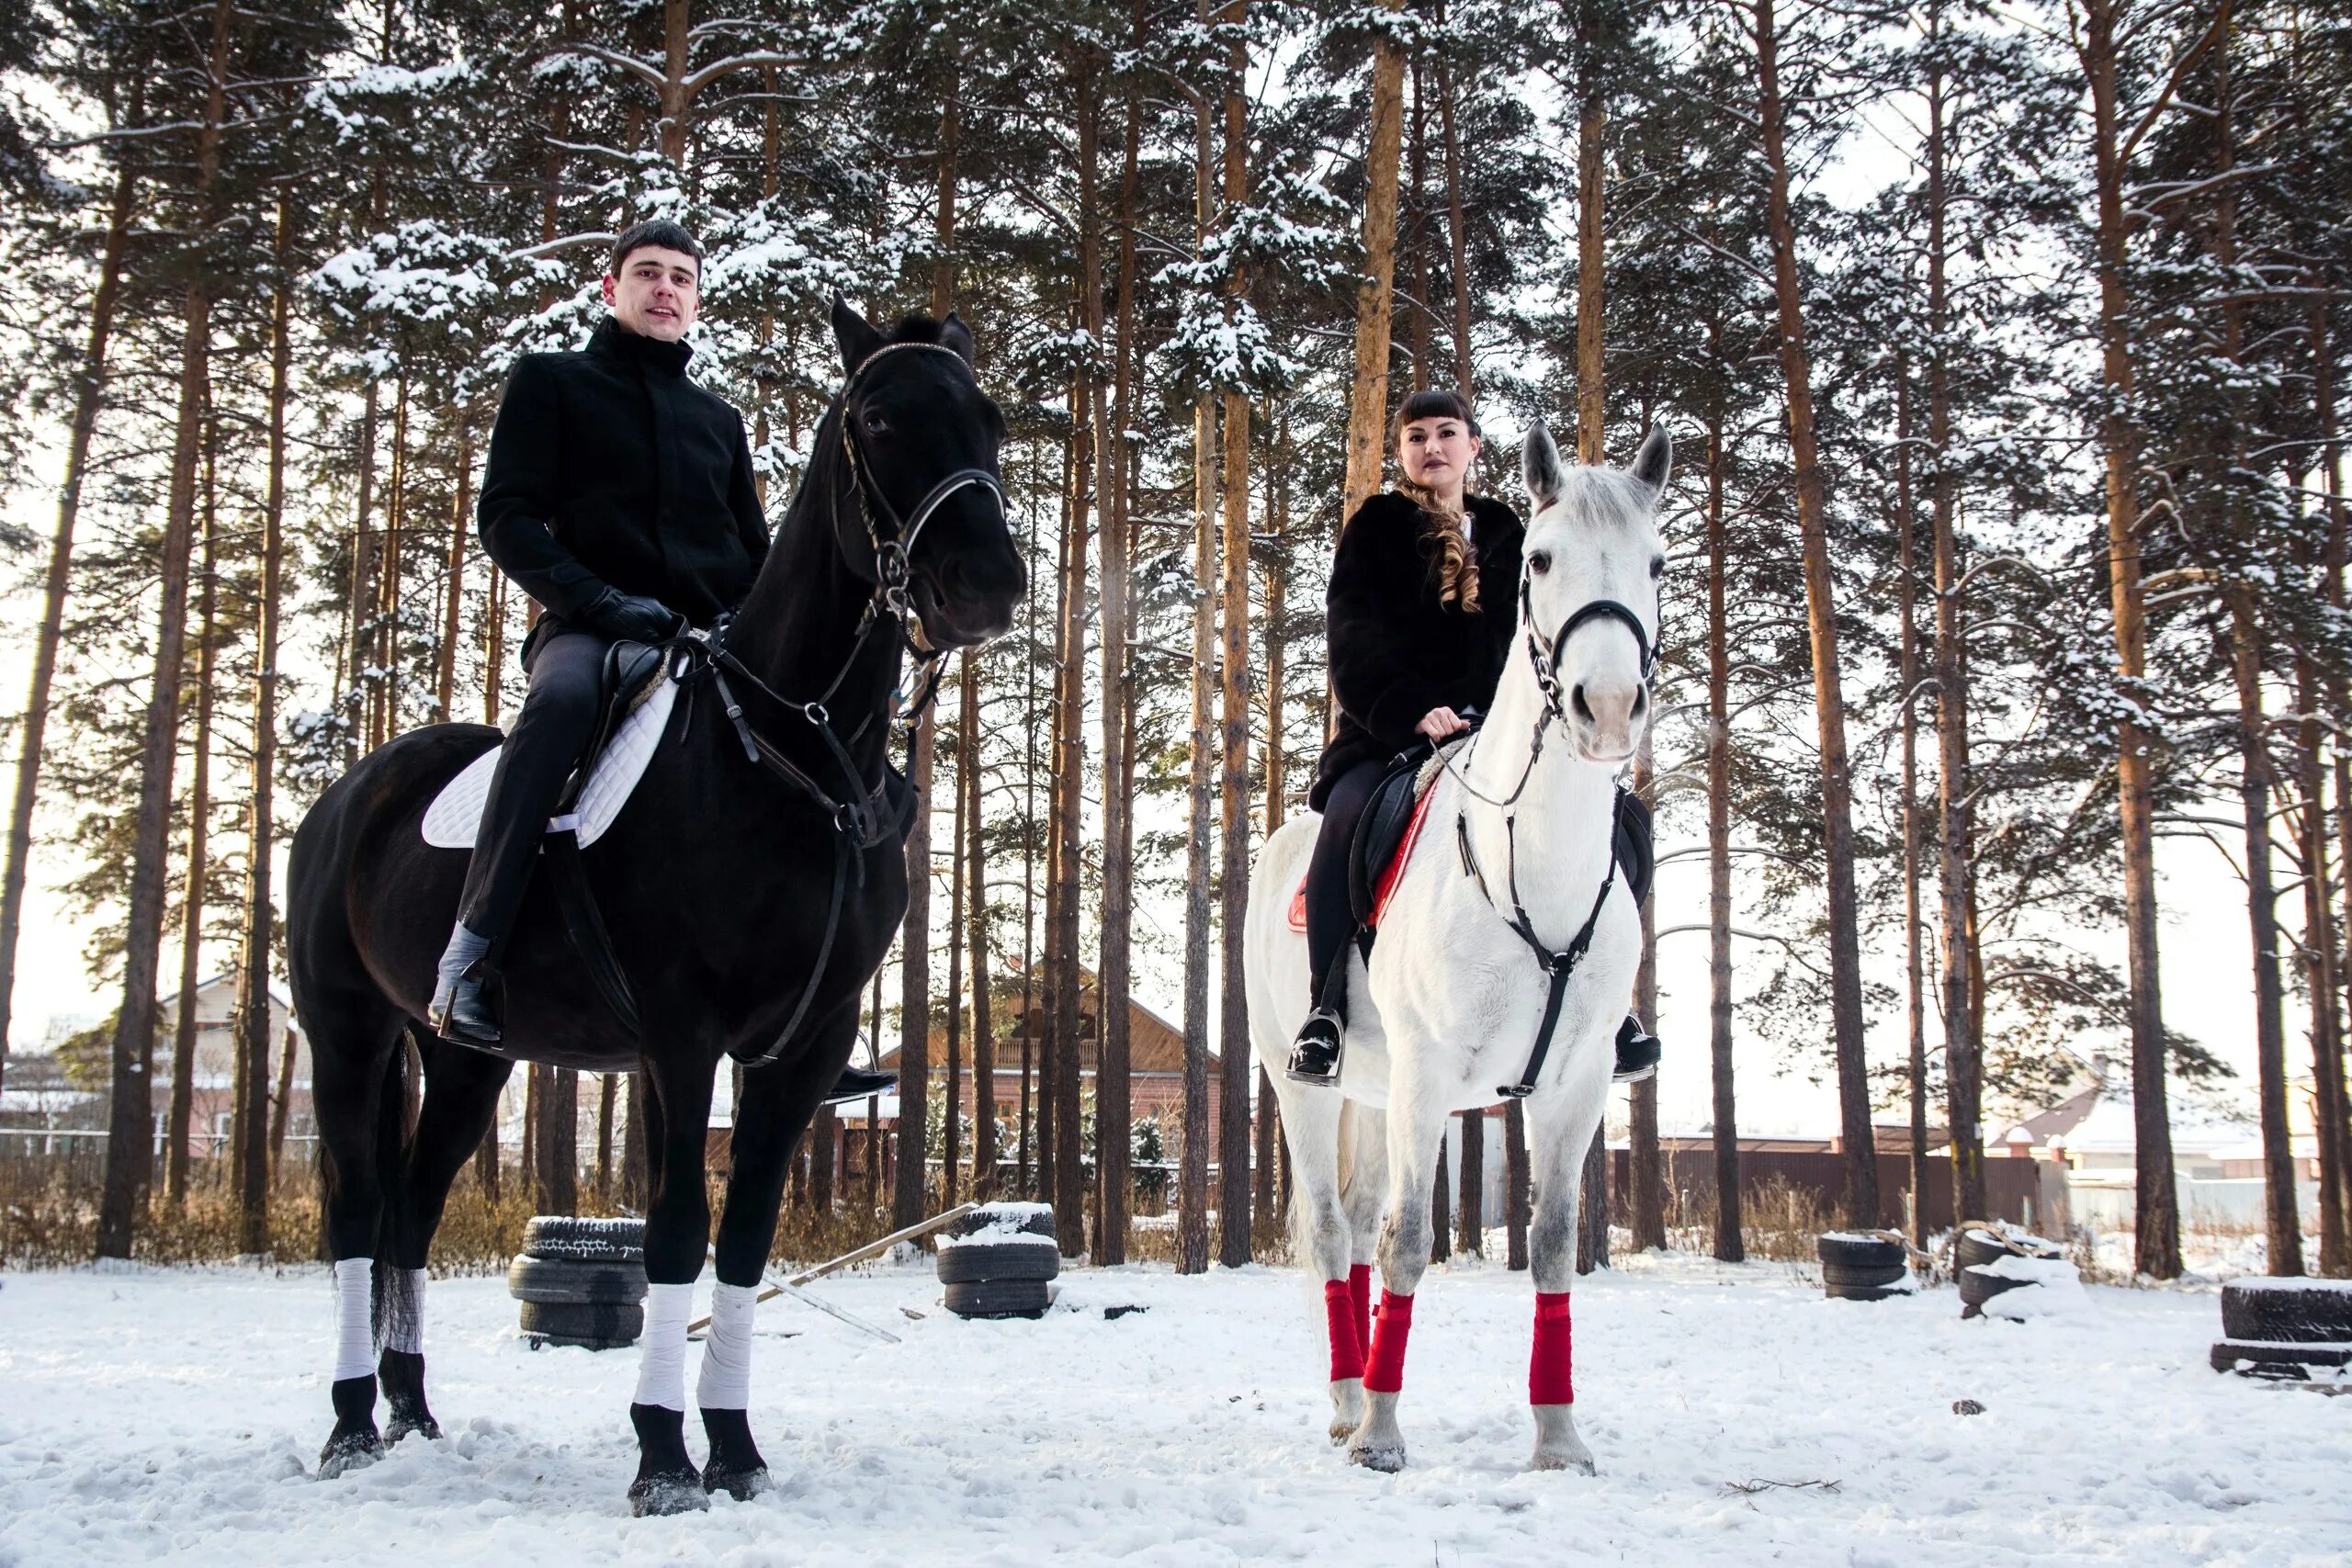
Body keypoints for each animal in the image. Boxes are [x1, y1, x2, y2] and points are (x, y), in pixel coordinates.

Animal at [288, 300, 1025, 1514]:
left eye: (989, 417)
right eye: (879, 417)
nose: (987, 583)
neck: (791, 751)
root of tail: (354, 790)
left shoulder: (801, 1049)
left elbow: (746, 1239)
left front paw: (732, 1446)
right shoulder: (683, 1036)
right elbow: (676, 1230)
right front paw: (663, 1459)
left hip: (466, 1064)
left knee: (410, 1213)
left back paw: (413, 1414)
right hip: (346, 1031)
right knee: (354, 1213)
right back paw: (349, 1427)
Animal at [1250, 415, 1674, 1476]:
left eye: (1655, 562)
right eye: (1540, 559)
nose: (1608, 707)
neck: (1535, 865)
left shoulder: (1572, 1086)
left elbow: (1553, 1242)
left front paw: (1559, 1438)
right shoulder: (1430, 1075)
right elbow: (1407, 1240)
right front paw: (1382, 1435)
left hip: (1376, 1092)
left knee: (1358, 1223)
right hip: (1308, 1087)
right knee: (1338, 1233)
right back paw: (1347, 1401)